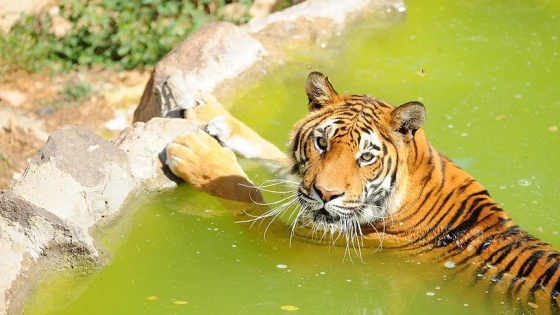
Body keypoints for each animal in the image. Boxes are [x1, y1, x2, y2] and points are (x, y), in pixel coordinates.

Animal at [165, 71, 560, 314]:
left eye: (366, 157)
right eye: (322, 143)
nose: (326, 194)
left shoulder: (299, 245)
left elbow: (242, 191)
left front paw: (198, 154)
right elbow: (279, 163)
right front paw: (212, 113)